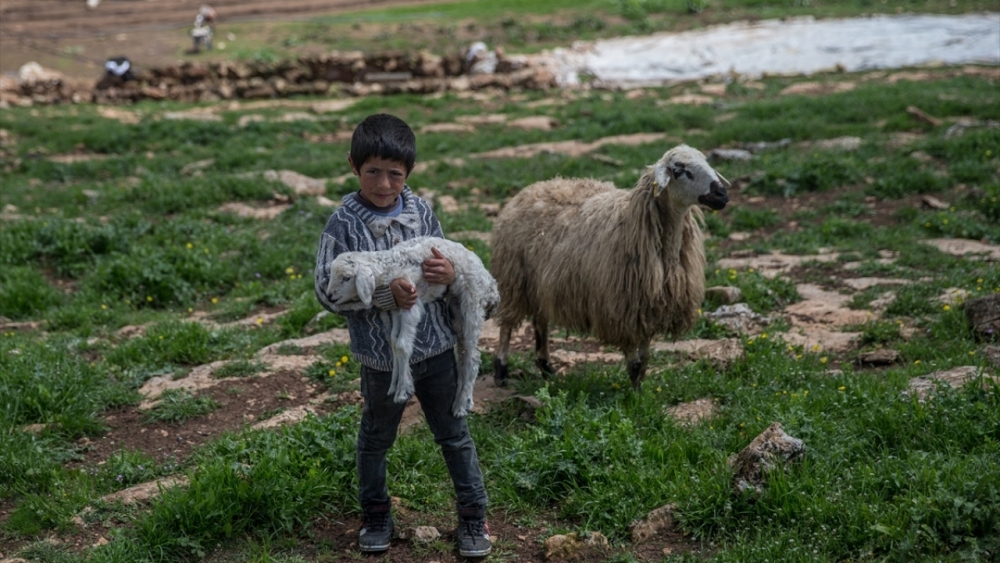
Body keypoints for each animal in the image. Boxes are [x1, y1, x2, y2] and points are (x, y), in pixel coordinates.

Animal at [326, 236, 500, 416]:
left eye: (346, 278)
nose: (329, 296)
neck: (390, 268)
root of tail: (492, 287)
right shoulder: (397, 307)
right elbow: (394, 343)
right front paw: (395, 385)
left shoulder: (411, 303)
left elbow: (403, 344)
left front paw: (402, 391)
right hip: (456, 310)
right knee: (463, 354)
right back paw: (460, 398)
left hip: (473, 302)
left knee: (473, 356)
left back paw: (462, 404)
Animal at [490, 143, 728, 390]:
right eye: (679, 170)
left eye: (706, 161)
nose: (722, 195)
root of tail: (534, 187)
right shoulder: (622, 309)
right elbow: (634, 362)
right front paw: (634, 394)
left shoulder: (647, 307)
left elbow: (645, 359)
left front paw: (641, 391)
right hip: (513, 279)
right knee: (507, 326)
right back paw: (501, 371)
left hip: (540, 284)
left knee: (540, 322)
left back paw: (546, 368)